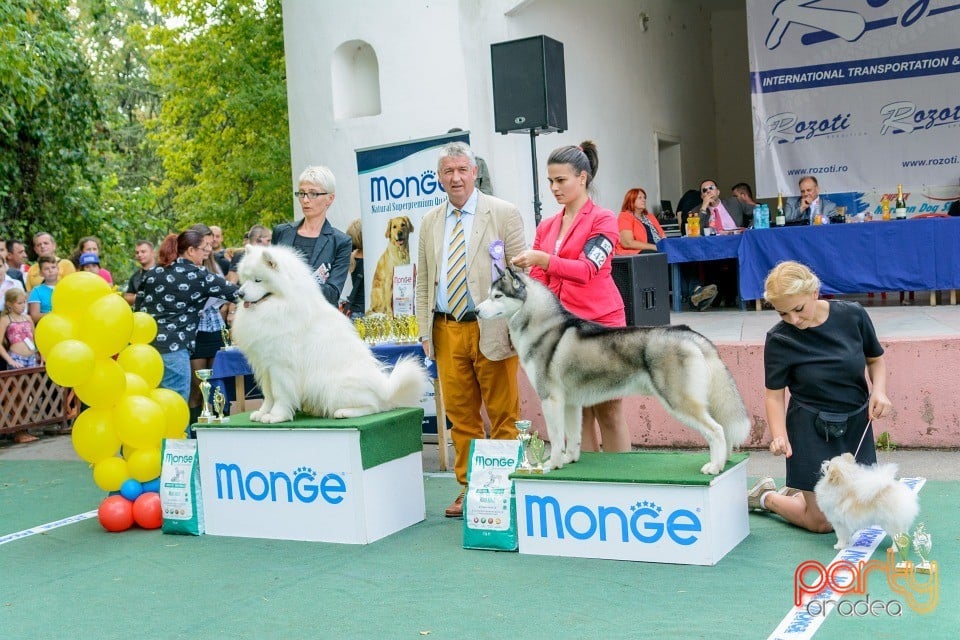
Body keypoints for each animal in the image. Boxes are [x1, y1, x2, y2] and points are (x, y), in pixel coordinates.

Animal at [229, 245, 428, 424]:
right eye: (245, 279)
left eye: (258, 280)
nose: (239, 293)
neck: (280, 304)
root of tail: (386, 391)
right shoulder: (265, 365)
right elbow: (268, 394)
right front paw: (263, 412)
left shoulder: (281, 365)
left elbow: (279, 393)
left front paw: (276, 416)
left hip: (335, 388)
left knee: (374, 407)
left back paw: (344, 412)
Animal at [476, 266, 752, 476]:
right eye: (489, 294)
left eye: (497, 296)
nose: (476, 310)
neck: (543, 327)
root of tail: (688, 333)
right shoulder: (570, 403)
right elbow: (572, 437)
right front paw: (569, 459)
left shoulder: (550, 400)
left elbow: (555, 438)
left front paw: (551, 465)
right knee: (722, 429)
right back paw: (724, 462)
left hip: (679, 401)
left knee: (716, 430)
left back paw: (714, 467)